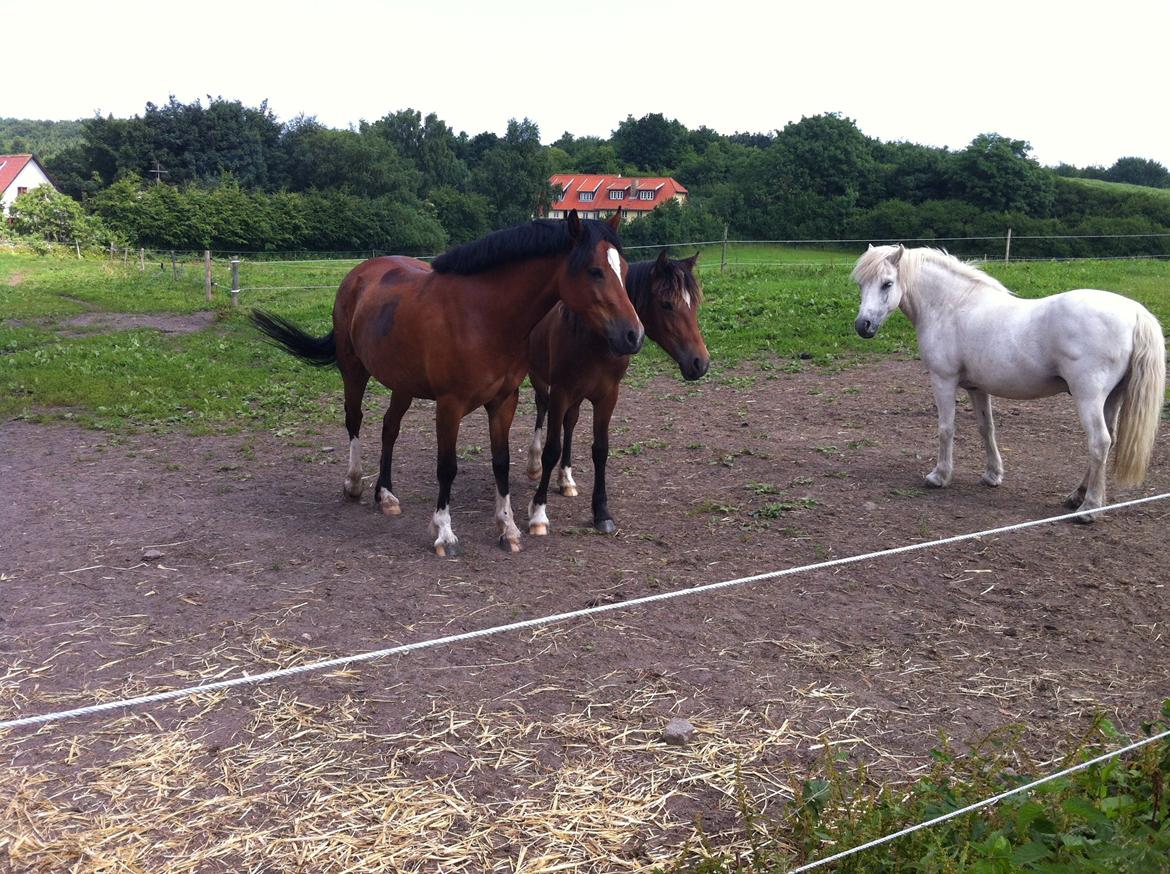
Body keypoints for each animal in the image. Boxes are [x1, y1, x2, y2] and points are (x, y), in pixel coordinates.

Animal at [250, 208, 645, 556]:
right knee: (354, 420)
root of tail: (359, 274)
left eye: (624, 269)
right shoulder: (449, 404)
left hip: (402, 384)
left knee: (389, 429)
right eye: (595, 271)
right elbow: (447, 466)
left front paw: (508, 529)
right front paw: (444, 533)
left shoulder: (504, 400)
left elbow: (501, 462)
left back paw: (386, 495)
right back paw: (354, 482)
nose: (633, 335)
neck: (484, 315)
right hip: (354, 370)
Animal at [526, 245, 706, 533]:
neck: (594, 339)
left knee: (570, 422)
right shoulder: (561, 393)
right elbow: (551, 450)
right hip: (539, 378)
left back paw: (566, 480)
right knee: (541, 408)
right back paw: (533, 465)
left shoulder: (607, 396)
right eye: (666, 304)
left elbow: (600, 450)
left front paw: (601, 512)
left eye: (695, 304)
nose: (700, 363)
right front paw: (538, 513)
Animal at [851, 245, 1160, 519]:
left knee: (1099, 442)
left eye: (887, 283)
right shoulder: (977, 388)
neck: (952, 305)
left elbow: (946, 429)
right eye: (861, 284)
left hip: (1089, 398)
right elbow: (986, 429)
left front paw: (939, 476)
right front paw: (992, 475)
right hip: (1112, 399)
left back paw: (1089, 508)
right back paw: (1076, 496)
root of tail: (1135, 313)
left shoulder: (943, 381)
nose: (862, 326)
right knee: (1109, 440)